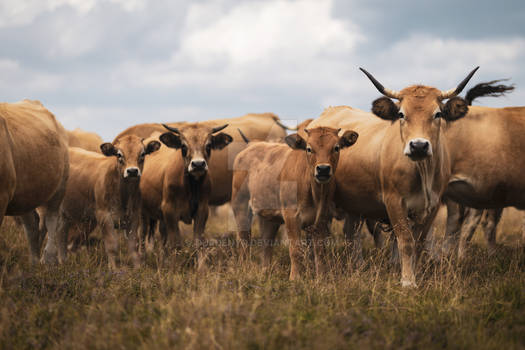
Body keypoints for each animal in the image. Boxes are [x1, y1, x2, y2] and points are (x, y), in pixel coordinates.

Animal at [0, 98, 69, 262]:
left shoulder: (2, 195)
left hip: (59, 188)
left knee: (52, 220)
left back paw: (48, 258)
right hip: (25, 195)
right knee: (32, 226)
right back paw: (34, 262)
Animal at [57, 136, 160, 268]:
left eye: (142, 154)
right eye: (119, 154)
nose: (132, 171)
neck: (124, 196)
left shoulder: (134, 217)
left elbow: (133, 246)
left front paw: (138, 268)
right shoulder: (104, 216)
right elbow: (111, 245)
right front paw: (114, 269)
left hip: (71, 216)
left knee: (64, 236)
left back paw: (63, 261)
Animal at [139, 121, 231, 262]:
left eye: (209, 145)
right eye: (183, 146)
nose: (198, 164)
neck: (191, 186)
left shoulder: (202, 210)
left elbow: (198, 242)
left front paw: (200, 264)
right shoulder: (170, 211)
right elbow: (176, 243)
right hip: (143, 212)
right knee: (143, 234)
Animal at [232, 126, 358, 278]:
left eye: (336, 147)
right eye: (309, 148)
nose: (323, 169)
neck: (315, 194)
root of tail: (252, 146)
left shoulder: (322, 219)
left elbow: (320, 252)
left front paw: (321, 277)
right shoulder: (291, 216)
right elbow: (296, 250)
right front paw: (295, 277)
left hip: (268, 216)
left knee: (266, 243)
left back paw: (265, 271)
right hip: (241, 206)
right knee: (243, 240)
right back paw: (243, 269)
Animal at [308, 68, 478, 288]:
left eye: (438, 113)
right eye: (401, 114)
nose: (419, 146)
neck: (422, 171)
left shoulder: (433, 205)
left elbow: (418, 242)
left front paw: (414, 273)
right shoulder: (394, 201)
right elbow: (405, 241)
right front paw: (407, 281)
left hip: (355, 202)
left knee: (351, 231)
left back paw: (357, 264)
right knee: (318, 231)